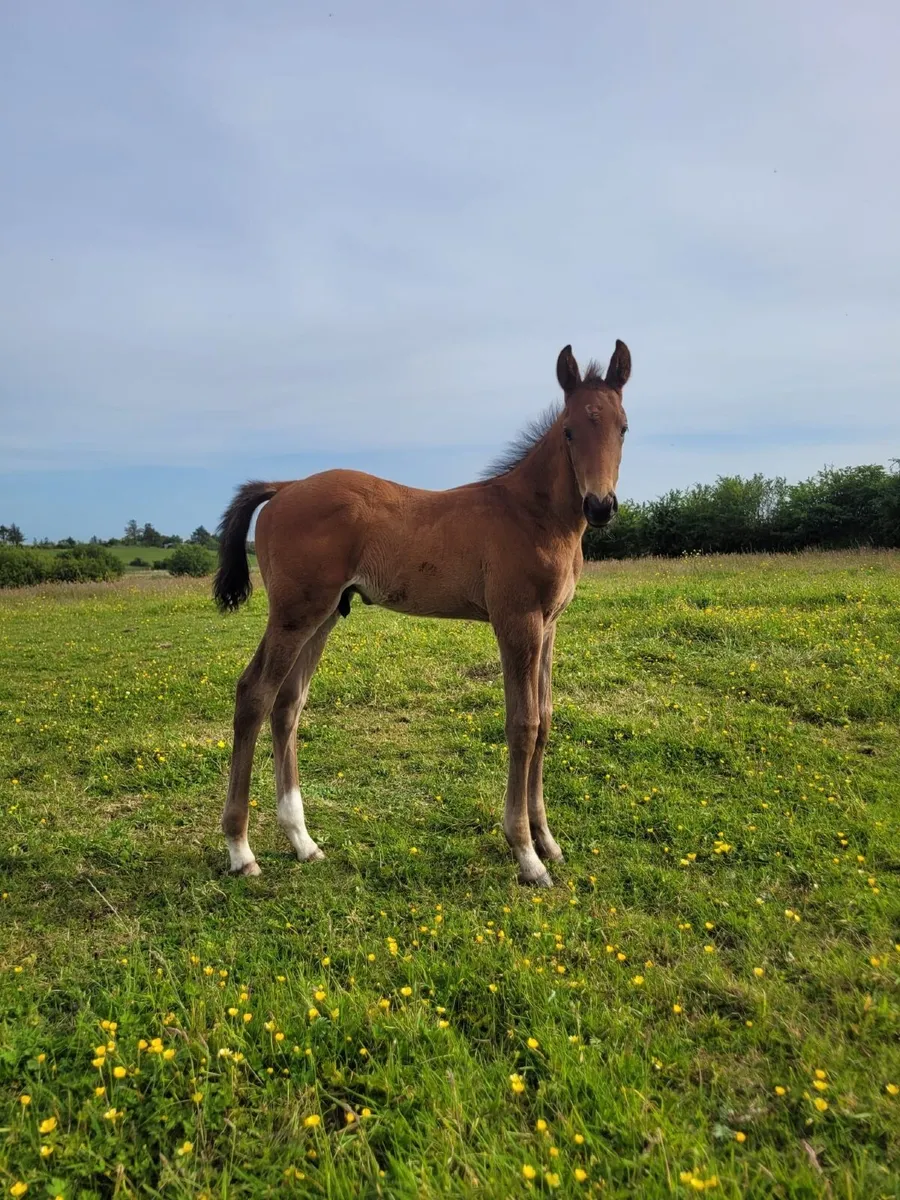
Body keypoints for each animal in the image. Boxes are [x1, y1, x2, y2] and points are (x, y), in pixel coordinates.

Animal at [213, 339, 631, 887]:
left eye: (623, 426)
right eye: (569, 430)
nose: (600, 505)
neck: (533, 514)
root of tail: (284, 487)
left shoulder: (549, 624)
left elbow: (544, 721)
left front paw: (548, 841)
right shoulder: (516, 621)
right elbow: (522, 726)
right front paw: (526, 854)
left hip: (323, 615)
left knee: (288, 704)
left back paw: (303, 841)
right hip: (293, 612)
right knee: (254, 694)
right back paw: (241, 850)